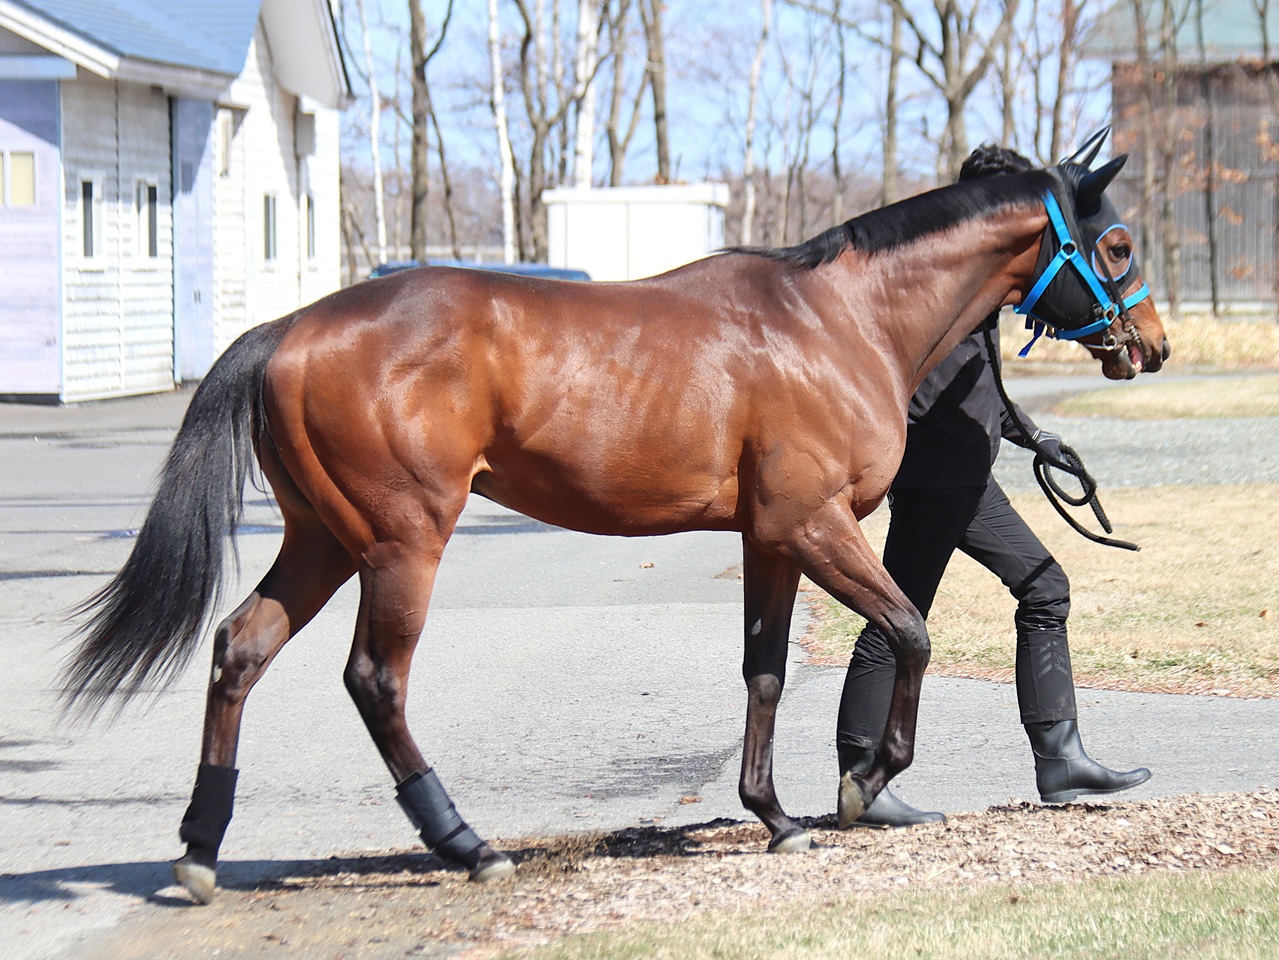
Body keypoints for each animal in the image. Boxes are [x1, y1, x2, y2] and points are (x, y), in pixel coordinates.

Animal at [63, 143, 1168, 905]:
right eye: (1115, 242)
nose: (1150, 346)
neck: (834, 321)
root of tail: (290, 328)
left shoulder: (769, 540)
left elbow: (765, 672)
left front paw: (775, 817)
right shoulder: (815, 526)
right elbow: (908, 632)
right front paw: (862, 785)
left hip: (323, 540)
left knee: (239, 649)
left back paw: (200, 851)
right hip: (400, 542)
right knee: (374, 680)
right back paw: (466, 845)